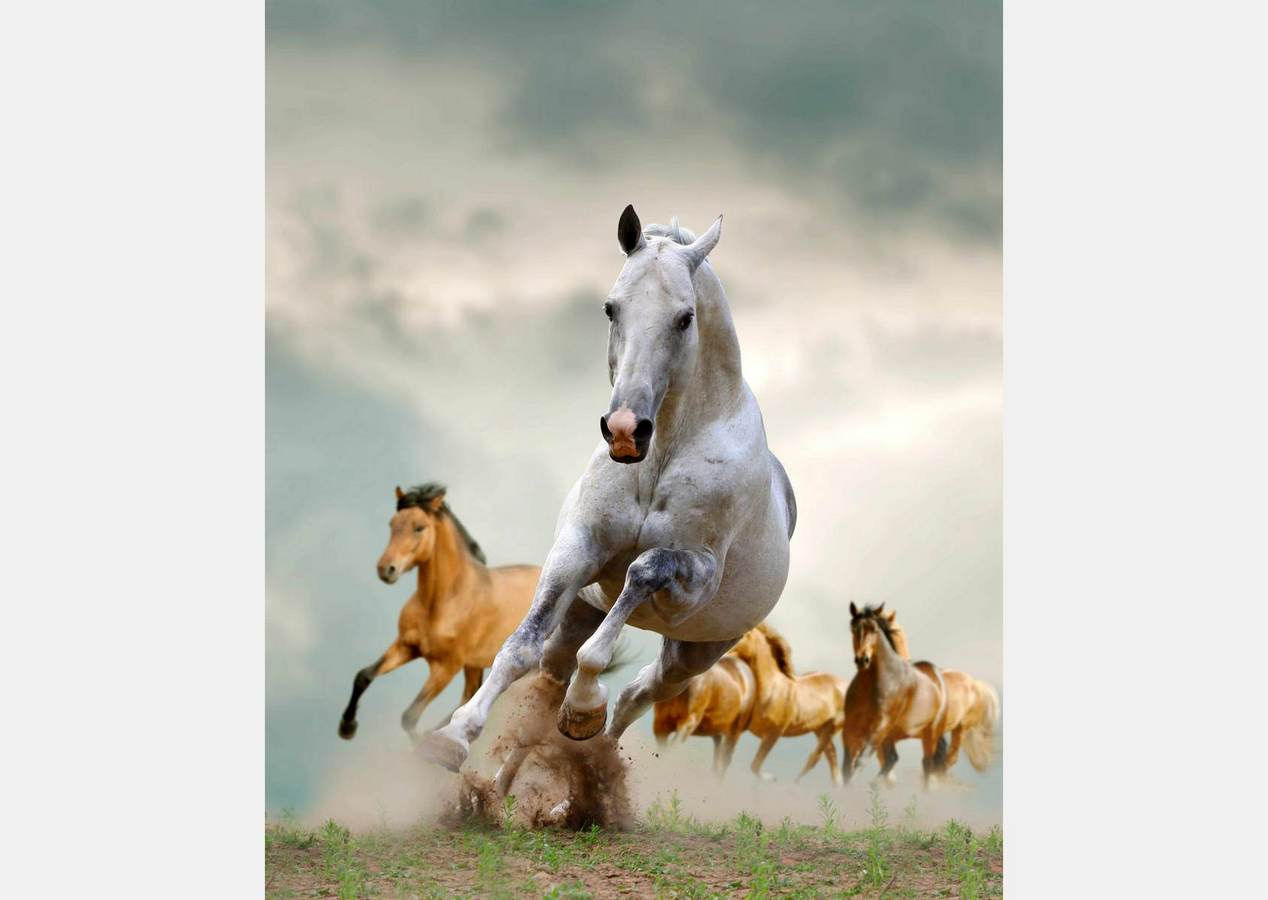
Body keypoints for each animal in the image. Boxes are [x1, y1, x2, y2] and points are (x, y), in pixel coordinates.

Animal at [337, 484, 538, 741]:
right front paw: (347, 727)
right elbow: (363, 676)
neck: (442, 602)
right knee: (470, 696)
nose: (386, 569)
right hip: (474, 664)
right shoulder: (406, 646)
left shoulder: (445, 668)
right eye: (392, 524)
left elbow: (410, 717)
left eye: (419, 527)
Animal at [651, 647, 756, 776]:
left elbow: (670, 751)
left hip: (734, 733)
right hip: (717, 730)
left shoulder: (687, 724)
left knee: (723, 764)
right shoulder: (661, 724)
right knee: (717, 759)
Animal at [727, 622, 848, 785]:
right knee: (831, 756)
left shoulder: (774, 733)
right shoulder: (739, 728)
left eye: (742, 635)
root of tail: (846, 685)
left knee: (815, 758)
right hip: (820, 729)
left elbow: (755, 765)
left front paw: (771, 778)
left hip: (832, 728)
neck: (771, 690)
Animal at [842, 603, 949, 787]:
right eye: (853, 628)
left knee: (927, 764)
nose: (862, 659)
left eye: (874, 629)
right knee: (892, 759)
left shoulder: (879, 727)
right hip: (891, 737)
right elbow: (847, 766)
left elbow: (860, 761)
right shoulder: (851, 727)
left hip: (929, 734)